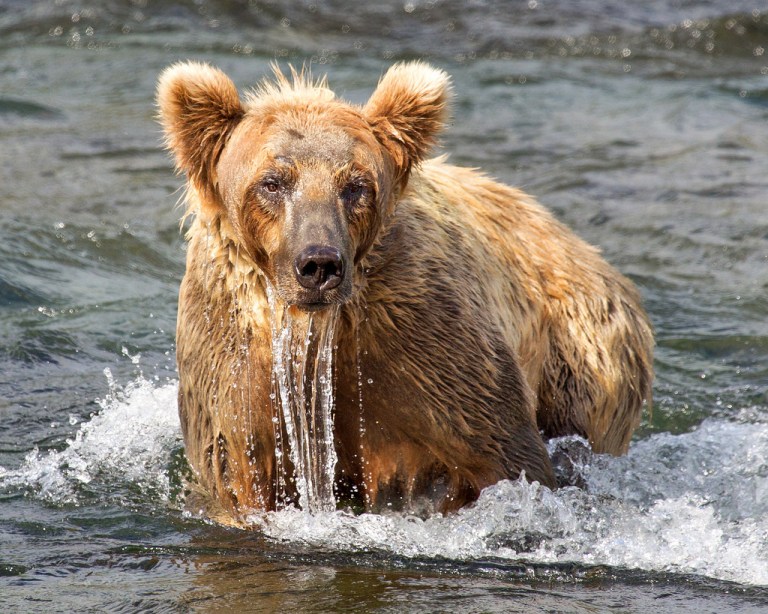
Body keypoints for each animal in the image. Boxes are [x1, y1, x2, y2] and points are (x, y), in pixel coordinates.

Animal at [157, 60, 653, 522]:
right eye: (272, 181)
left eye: (355, 185)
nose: (319, 264)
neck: (319, 328)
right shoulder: (234, 362)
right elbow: (237, 472)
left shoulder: (424, 342)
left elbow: (502, 454)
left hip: (585, 357)